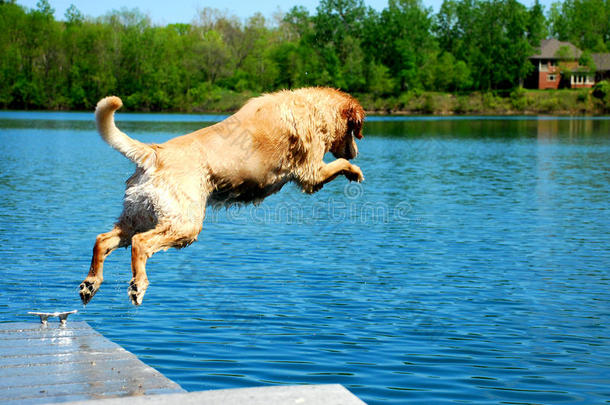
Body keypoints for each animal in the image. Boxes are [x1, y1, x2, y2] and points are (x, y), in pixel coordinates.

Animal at [77, 87, 360, 304]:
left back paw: (91, 283)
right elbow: (339, 164)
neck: (312, 106)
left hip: (140, 214)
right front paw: (355, 172)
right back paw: (137, 286)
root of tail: (153, 153)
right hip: (184, 223)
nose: (357, 151)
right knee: (140, 244)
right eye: (355, 130)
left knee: (103, 240)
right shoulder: (311, 172)